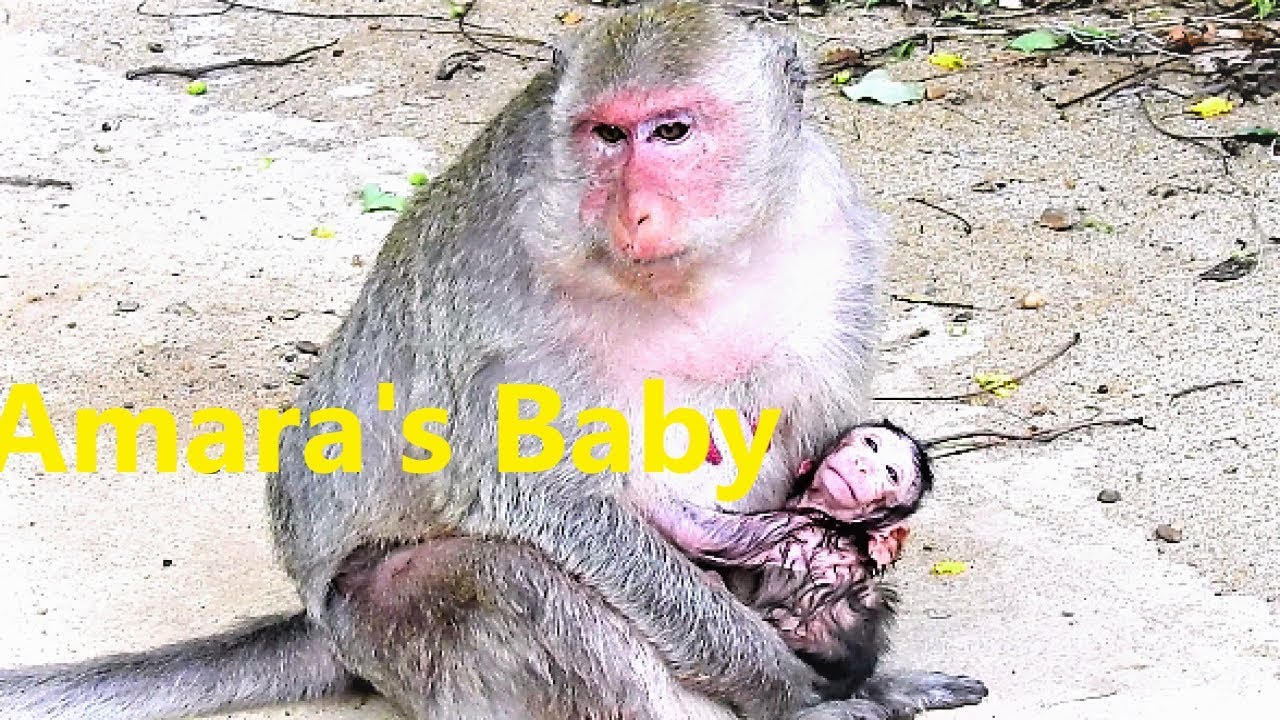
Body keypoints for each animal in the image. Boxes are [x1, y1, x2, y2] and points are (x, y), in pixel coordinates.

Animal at [650, 420, 933, 701]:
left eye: (891, 474)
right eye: (870, 444)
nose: (862, 465)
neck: (839, 524)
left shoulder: (788, 524)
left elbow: (695, 529)